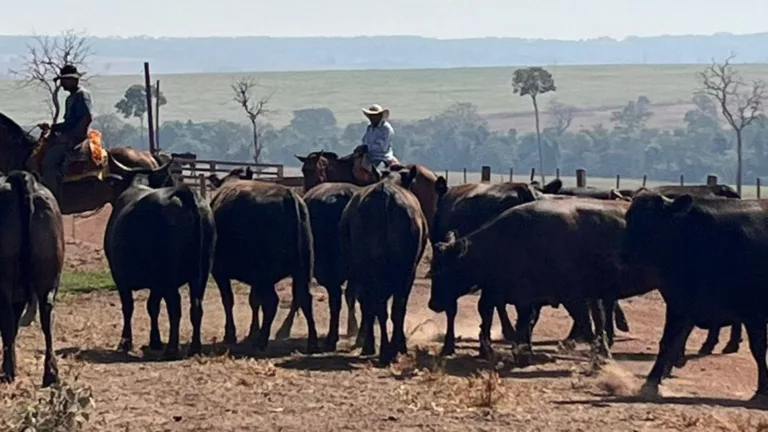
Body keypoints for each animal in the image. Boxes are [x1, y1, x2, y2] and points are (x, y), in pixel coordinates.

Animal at [0, 170, 63, 386]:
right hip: (48, 277)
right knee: (47, 316)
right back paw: (51, 373)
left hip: (5, 279)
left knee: (7, 320)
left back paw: (8, 372)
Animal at [103, 176, 214, 358]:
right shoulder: (156, 284)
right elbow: (152, 307)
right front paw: (154, 341)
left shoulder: (120, 278)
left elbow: (129, 307)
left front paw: (125, 343)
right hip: (201, 274)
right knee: (196, 306)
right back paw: (194, 348)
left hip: (169, 275)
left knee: (175, 307)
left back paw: (172, 349)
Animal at [624, 192, 768, 402]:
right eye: (628, 218)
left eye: (651, 219)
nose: (625, 253)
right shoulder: (679, 305)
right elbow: (668, 342)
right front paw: (651, 383)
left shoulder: (753, 312)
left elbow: (758, 349)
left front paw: (762, 390)